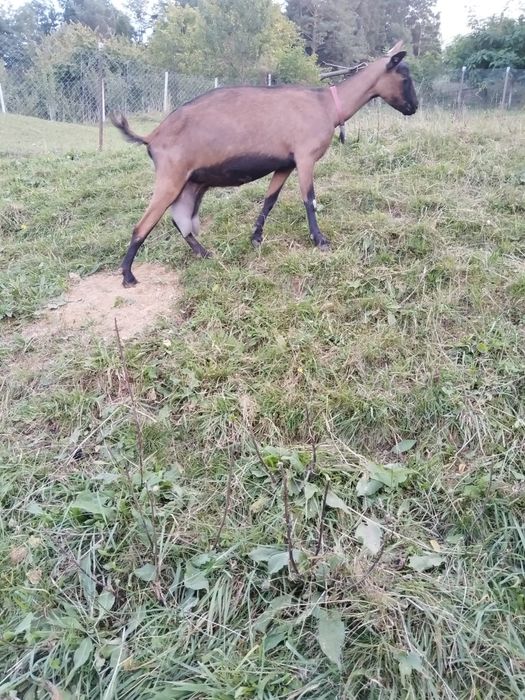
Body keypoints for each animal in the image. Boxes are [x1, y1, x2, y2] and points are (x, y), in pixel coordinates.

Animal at [111, 41, 418, 287]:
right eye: (404, 76)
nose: (414, 107)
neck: (328, 106)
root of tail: (152, 137)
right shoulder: (305, 157)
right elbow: (309, 199)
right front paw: (320, 241)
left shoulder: (286, 164)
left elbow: (270, 199)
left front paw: (256, 237)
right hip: (171, 176)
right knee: (144, 224)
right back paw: (127, 275)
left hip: (192, 183)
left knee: (180, 219)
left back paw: (204, 253)